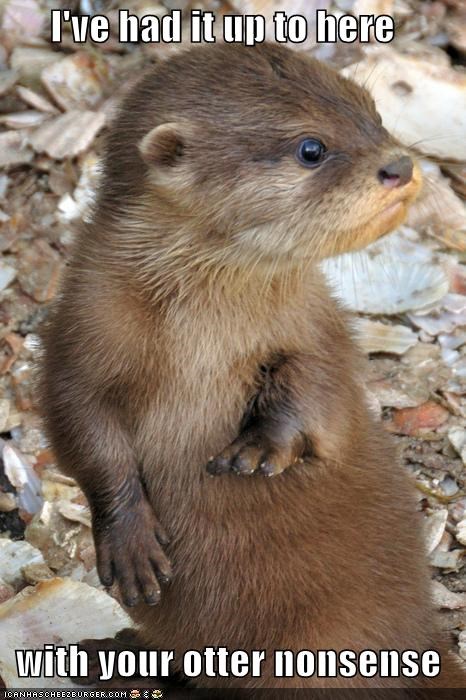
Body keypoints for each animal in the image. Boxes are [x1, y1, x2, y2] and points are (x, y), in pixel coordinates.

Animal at [41, 43, 465, 690]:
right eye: (311, 148)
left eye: (374, 114)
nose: (397, 165)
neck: (203, 333)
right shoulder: (80, 330)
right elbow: (80, 427)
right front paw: (130, 543)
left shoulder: (315, 321)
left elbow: (323, 386)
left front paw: (265, 445)